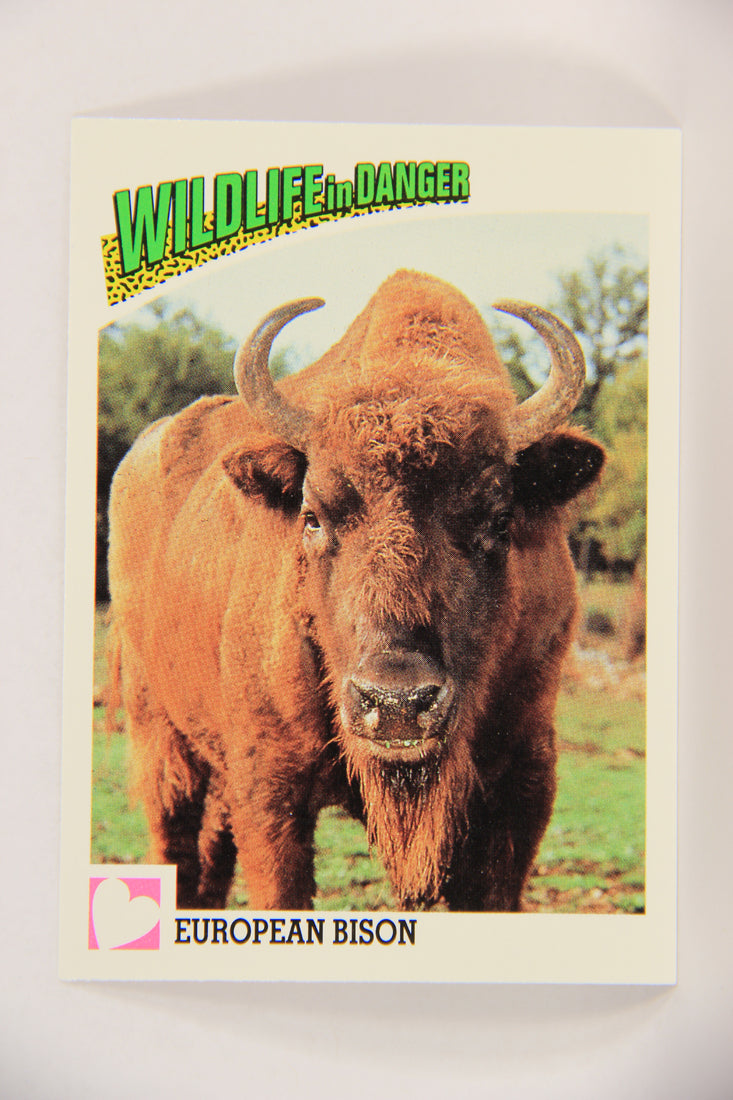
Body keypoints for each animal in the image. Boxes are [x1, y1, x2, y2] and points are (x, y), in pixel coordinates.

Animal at [106, 269, 603, 911]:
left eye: (499, 519)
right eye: (313, 516)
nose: (396, 703)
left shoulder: (522, 781)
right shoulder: (270, 785)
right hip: (160, 735)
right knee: (176, 844)